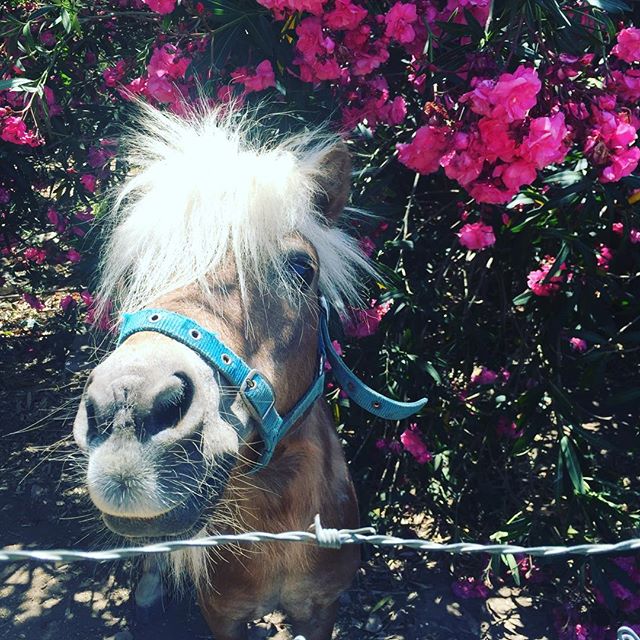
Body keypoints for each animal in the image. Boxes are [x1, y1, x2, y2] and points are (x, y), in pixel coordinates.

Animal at [71, 102, 424, 636]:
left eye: (301, 268)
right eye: (136, 274)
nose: (128, 410)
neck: (279, 533)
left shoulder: (321, 609)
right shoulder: (222, 616)